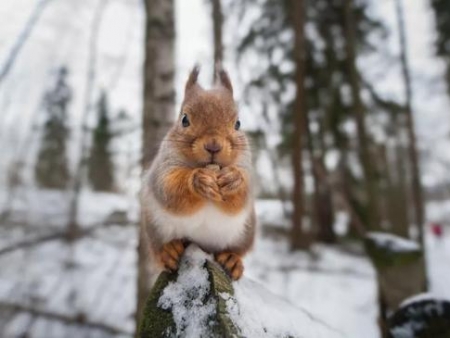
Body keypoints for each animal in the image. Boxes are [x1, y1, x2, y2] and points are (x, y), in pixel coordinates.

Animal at [142, 66, 255, 280]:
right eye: (184, 119)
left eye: (238, 123)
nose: (213, 146)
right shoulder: (164, 166)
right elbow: (169, 188)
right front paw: (198, 181)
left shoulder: (246, 167)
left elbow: (241, 196)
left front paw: (233, 179)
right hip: (154, 227)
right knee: (158, 249)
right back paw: (168, 251)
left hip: (245, 232)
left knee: (238, 249)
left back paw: (232, 259)